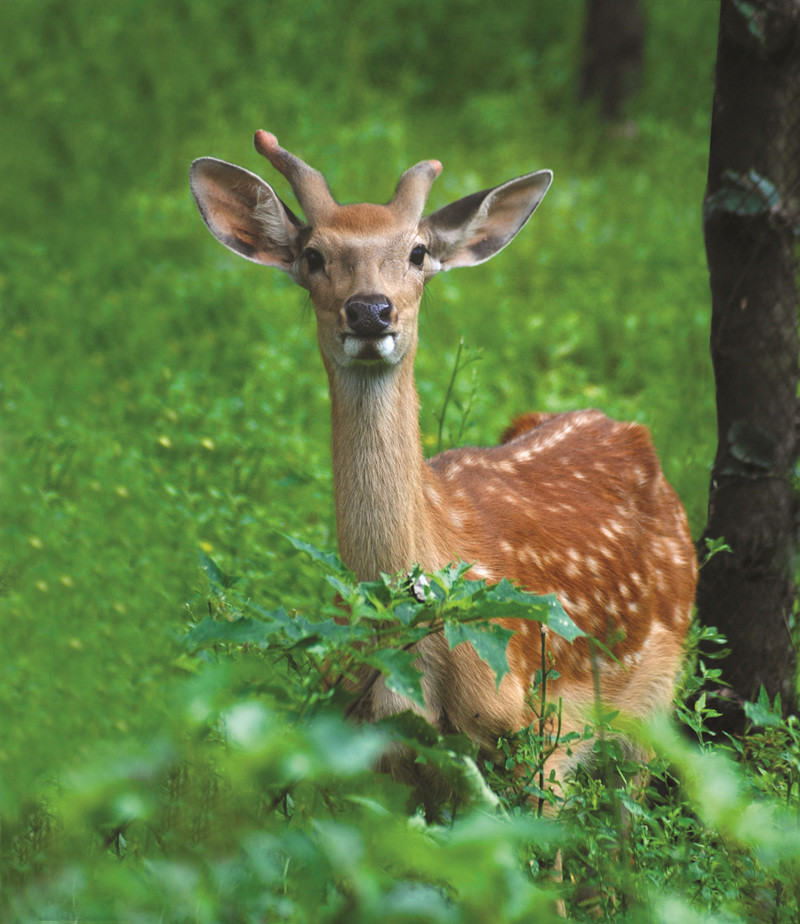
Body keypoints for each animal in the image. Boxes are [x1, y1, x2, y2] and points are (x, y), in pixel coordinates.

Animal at [191, 130, 696, 816]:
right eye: (315, 255)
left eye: (417, 252)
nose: (370, 311)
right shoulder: (381, 753)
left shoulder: (542, 736)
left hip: (656, 693)